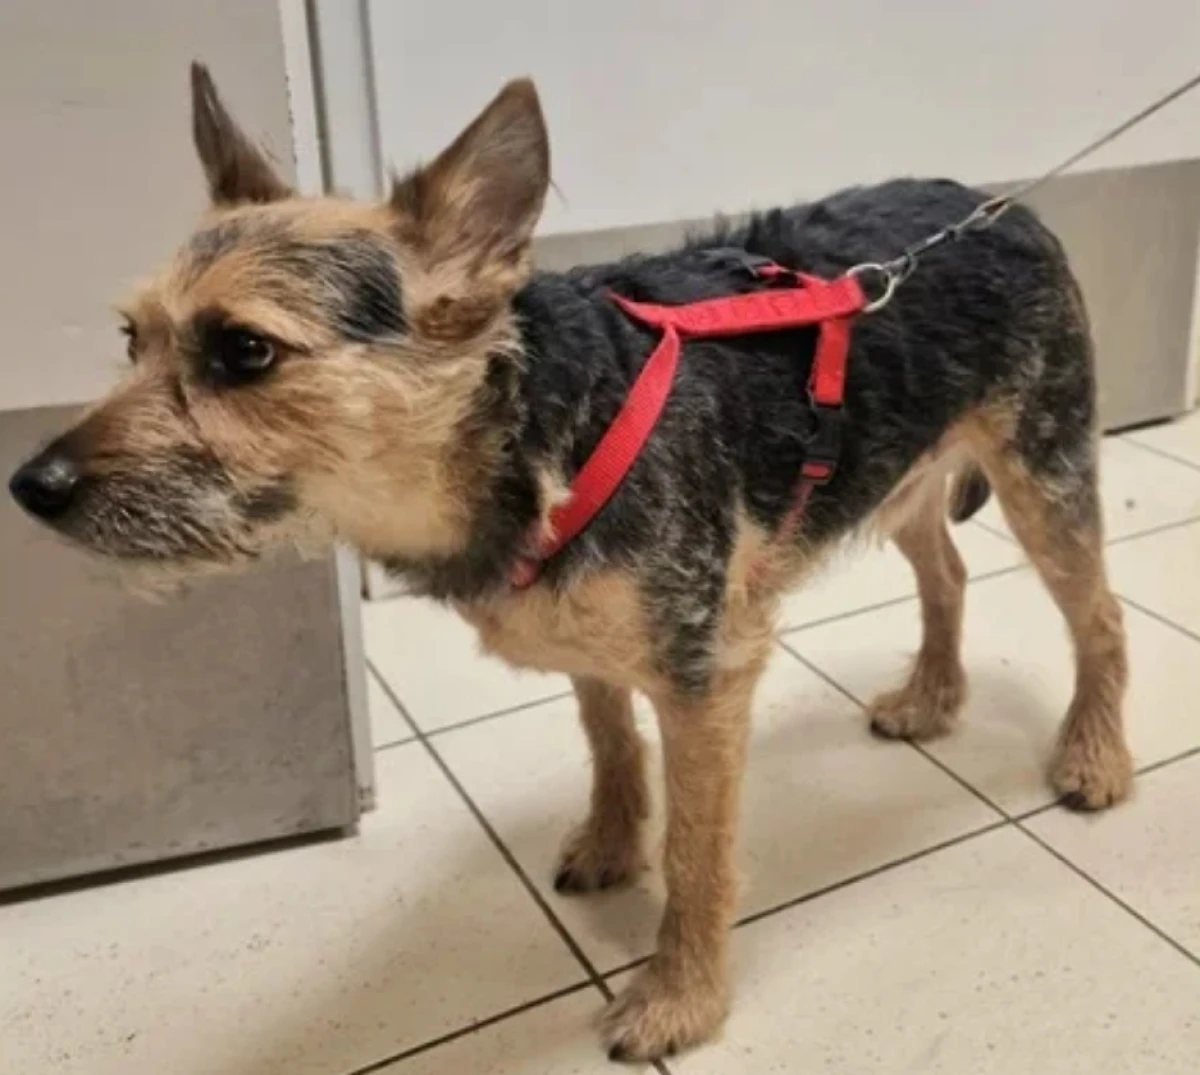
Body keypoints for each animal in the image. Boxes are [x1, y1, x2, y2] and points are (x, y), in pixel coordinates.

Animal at [9, 64, 1132, 1061]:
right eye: (130, 340)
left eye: (244, 351)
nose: (30, 486)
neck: (538, 433)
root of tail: (995, 202)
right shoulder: (588, 633)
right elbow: (608, 741)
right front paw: (610, 842)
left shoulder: (705, 677)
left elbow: (697, 850)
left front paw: (681, 996)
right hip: (899, 471)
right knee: (948, 573)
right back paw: (935, 694)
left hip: (1043, 471)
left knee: (1100, 617)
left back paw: (1095, 755)